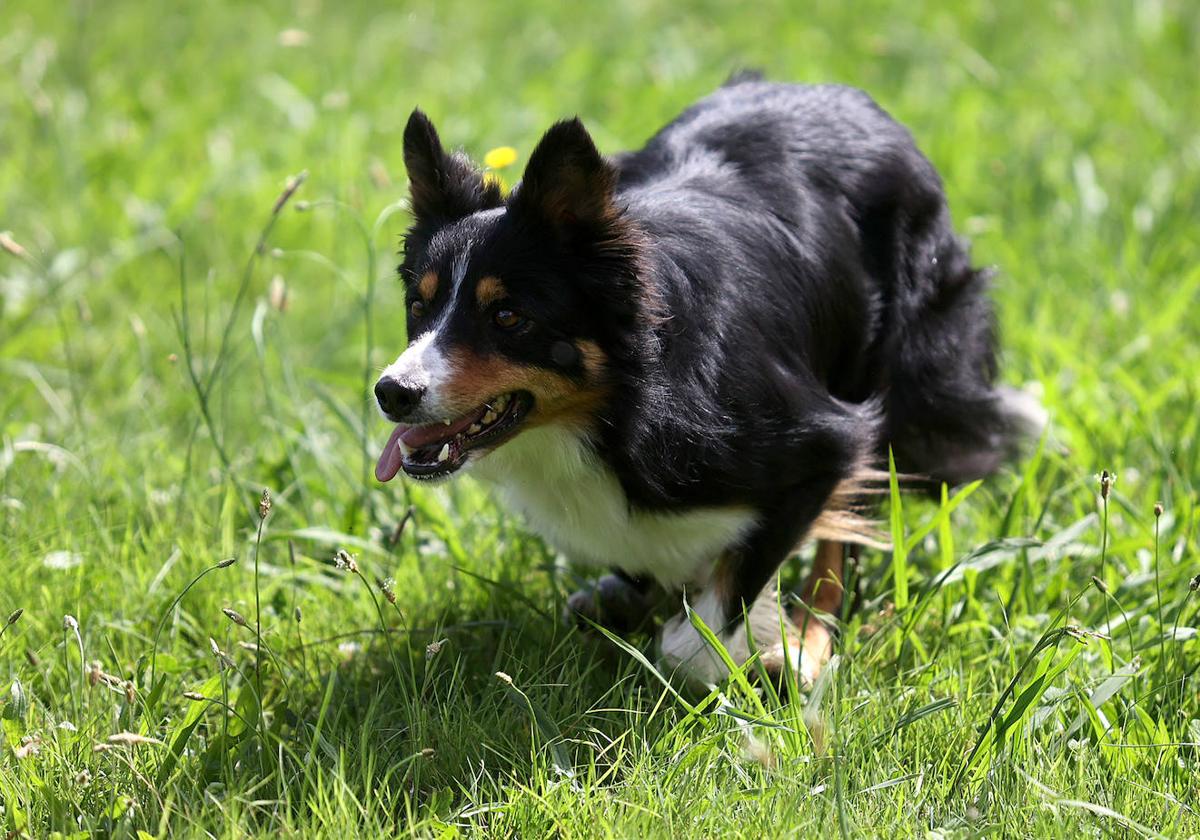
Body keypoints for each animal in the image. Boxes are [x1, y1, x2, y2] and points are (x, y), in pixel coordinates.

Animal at [374, 75, 1041, 686]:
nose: (390, 393)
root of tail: (836, 90)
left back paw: (808, 647)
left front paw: (755, 650)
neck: (623, 405)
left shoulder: (822, 440)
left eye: (509, 317)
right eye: (419, 305)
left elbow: (713, 618)